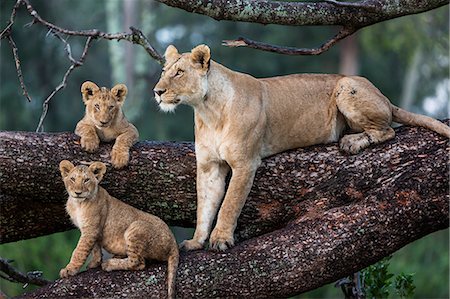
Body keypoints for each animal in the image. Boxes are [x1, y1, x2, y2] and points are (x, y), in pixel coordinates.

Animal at [154, 44, 446, 252]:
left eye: (179, 73)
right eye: (163, 72)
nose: (157, 92)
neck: (208, 111)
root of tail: (384, 97)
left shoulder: (245, 163)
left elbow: (229, 204)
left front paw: (221, 239)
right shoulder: (209, 166)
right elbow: (205, 205)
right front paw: (197, 241)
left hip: (346, 85)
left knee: (386, 131)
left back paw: (351, 142)